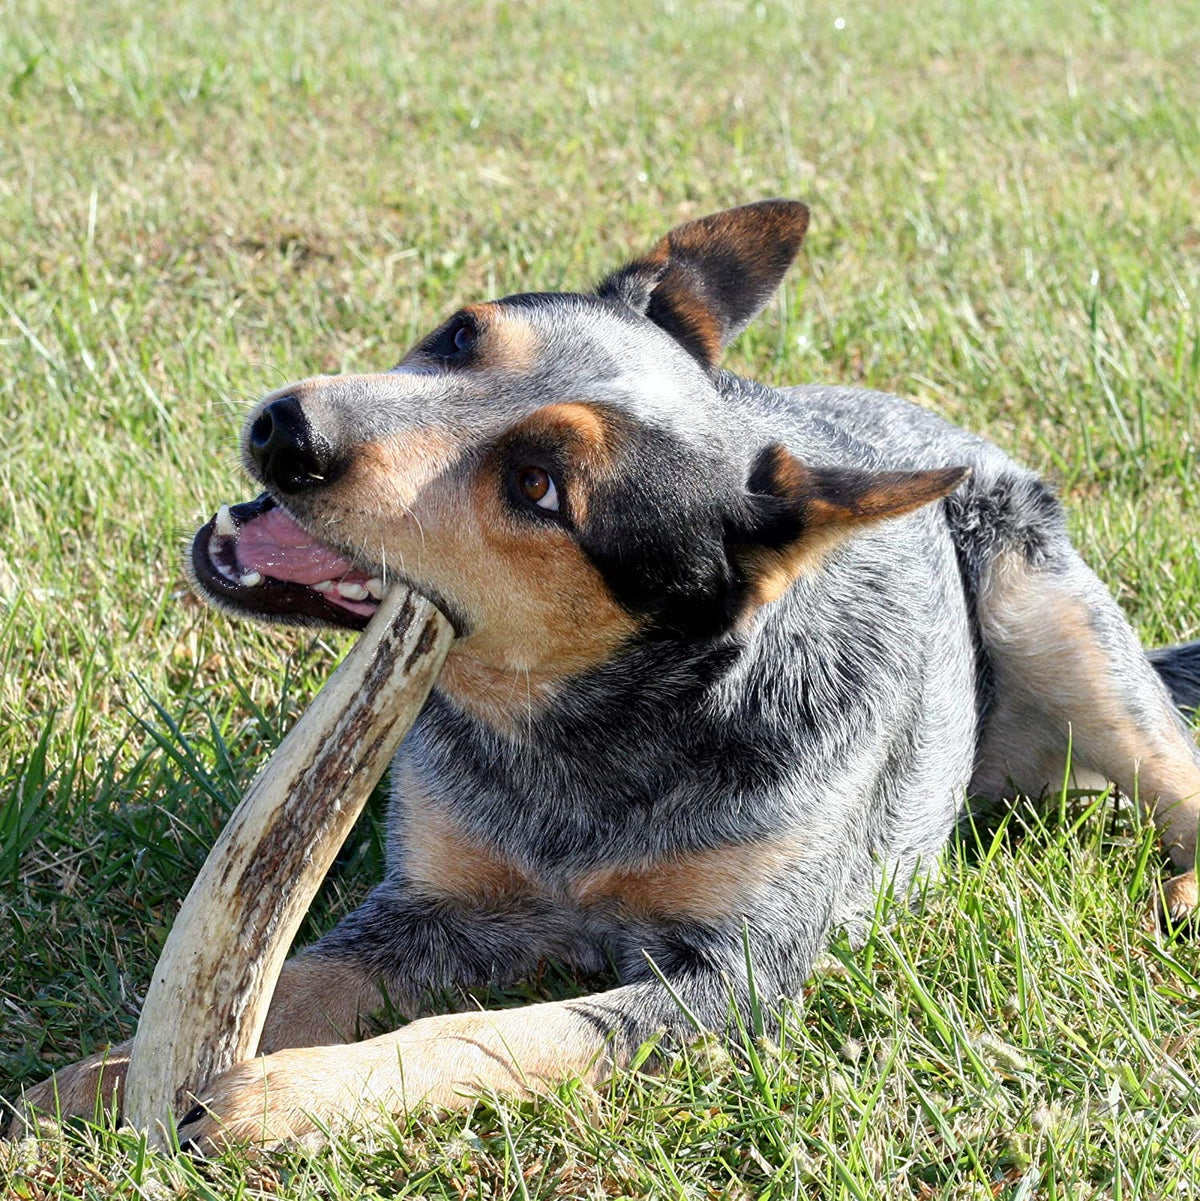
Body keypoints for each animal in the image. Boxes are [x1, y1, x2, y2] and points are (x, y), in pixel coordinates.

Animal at [11, 201, 1200, 1148]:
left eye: (539, 484)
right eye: (460, 333)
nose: (285, 428)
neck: (581, 738)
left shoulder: (735, 978)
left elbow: (487, 1034)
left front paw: (285, 1094)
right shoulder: (425, 907)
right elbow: (305, 972)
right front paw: (107, 1078)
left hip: (1045, 607)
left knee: (1172, 771)